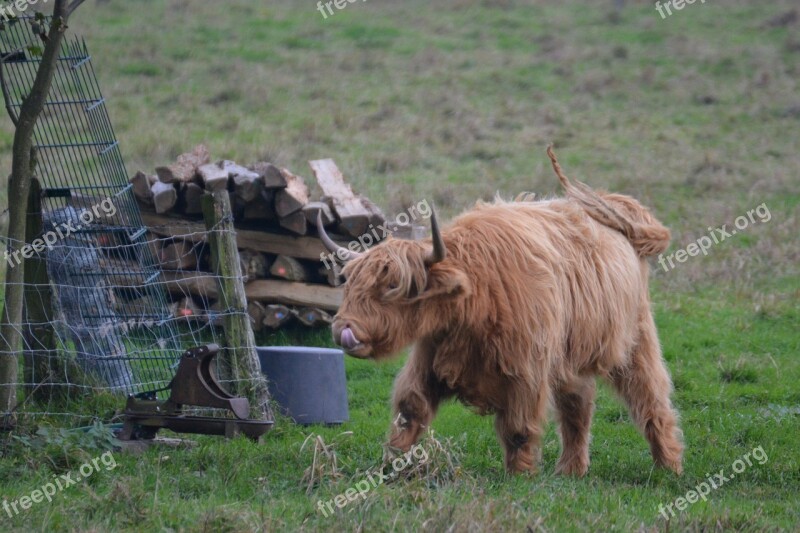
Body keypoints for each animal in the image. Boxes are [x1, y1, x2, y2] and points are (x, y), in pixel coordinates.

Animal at [318, 148, 680, 476]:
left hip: (636, 341)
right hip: (570, 357)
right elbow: (410, 408)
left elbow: (518, 428)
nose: (343, 329)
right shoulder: (428, 356)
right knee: (578, 408)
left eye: (393, 287)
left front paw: (519, 475)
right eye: (350, 283)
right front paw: (391, 464)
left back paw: (669, 466)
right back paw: (571, 470)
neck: (475, 299)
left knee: (651, 400)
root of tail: (621, 212)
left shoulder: (526, 372)